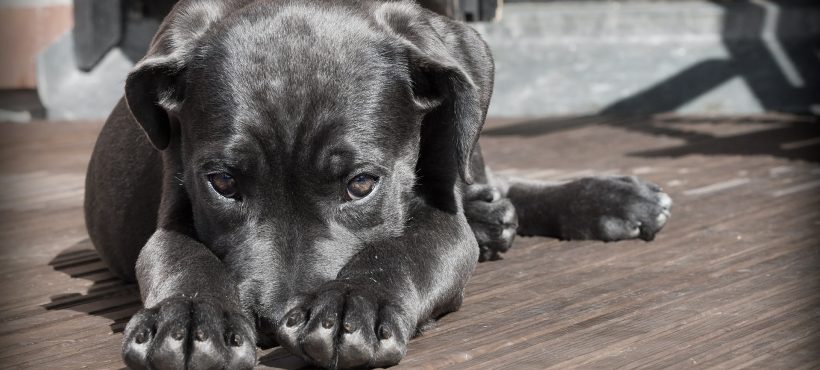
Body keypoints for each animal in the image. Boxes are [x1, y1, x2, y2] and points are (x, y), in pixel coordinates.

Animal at [85, 1, 672, 368]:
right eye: (223, 182)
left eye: (362, 184)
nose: (273, 320)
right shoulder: (175, 202)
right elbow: (180, 255)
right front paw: (190, 318)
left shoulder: (441, 214)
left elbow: (405, 249)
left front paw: (353, 304)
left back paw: (607, 198)